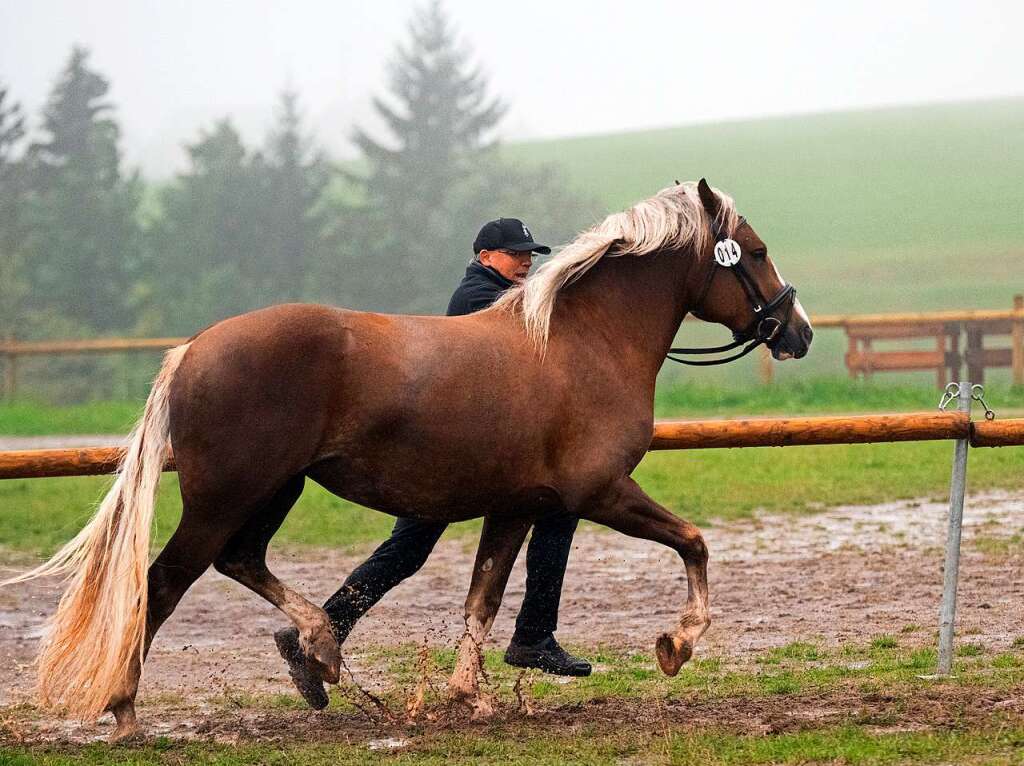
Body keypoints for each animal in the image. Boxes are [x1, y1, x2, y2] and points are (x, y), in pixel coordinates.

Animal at [4, 178, 811, 737]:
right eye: (757, 253)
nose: (797, 331)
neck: (578, 343)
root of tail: (191, 350)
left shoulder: (517, 506)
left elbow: (483, 599)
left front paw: (472, 696)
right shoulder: (600, 492)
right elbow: (695, 544)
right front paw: (676, 644)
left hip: (275, 490)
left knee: (241, 561)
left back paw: (320, 654)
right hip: (227, 496)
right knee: (165, 582)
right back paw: (128, 710)